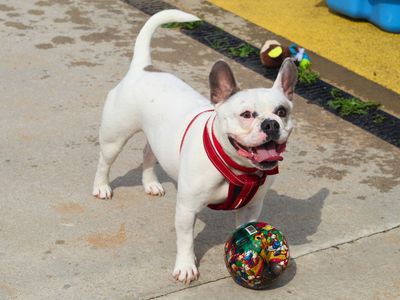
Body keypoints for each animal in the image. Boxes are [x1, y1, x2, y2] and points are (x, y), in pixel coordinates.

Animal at [91, 9, 296, 284]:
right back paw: (101, 187)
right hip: (115, 136)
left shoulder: (252, 208)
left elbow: (246, 229)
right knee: (105, 161)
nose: (271, 124)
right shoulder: (187, 210)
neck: (238, 168)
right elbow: (186, 240)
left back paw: (151, 183)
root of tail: (143, 68)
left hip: (157, 139)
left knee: (148, 153)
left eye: (281, 111)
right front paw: (186, 267)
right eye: (246, 114)